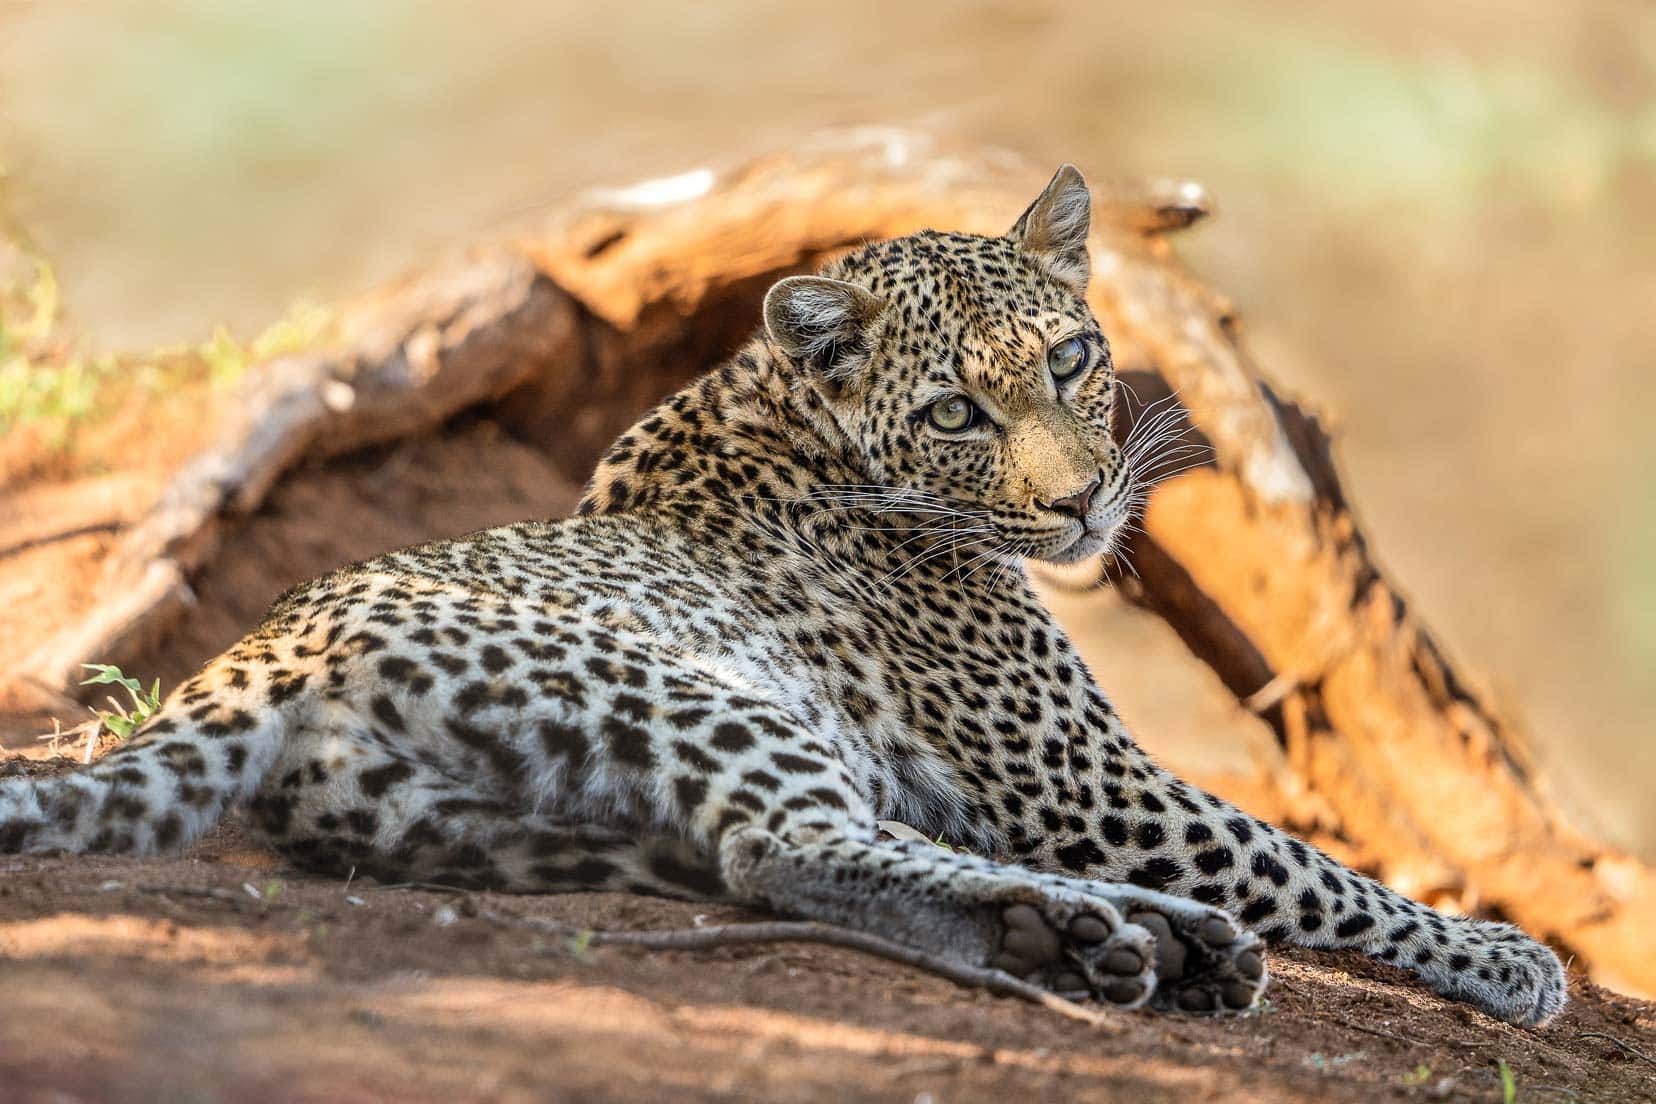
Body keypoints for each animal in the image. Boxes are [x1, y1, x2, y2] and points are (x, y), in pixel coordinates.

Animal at [0, 166, 1563, 1026]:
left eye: (1069, 361)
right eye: (956, 413)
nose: (1077, 505)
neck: (785, 412)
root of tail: (256, 654)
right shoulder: (1085, 781)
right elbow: (1305, 865)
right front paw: (1502, 957)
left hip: (503, 820)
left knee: (779, 851)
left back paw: (1142, 942)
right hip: (706, 698)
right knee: (784, 847)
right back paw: (1086, 939)